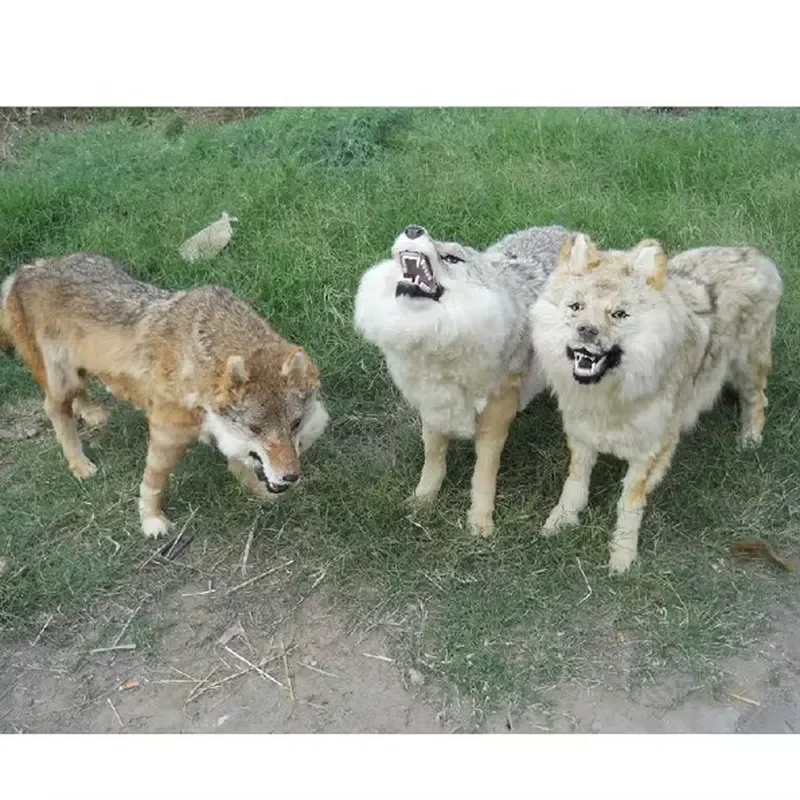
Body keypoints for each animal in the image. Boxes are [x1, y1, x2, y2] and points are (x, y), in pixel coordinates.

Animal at [1, 254, 330, 537]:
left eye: (295, 425)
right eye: (255, 429)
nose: (291, 476)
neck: (197, 361)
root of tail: (26, 270)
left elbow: (241, 462)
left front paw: (259, 491)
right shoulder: (167, 436)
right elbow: (153, 484)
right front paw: (151, 521)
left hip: (78, 373)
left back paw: (91, 412)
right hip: (61, 383)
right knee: (56, 412)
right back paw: (79, 463)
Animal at [354, 223, 572, 535]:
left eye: (452, 258)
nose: (413, 229)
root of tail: (564, 230)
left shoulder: (494, 422)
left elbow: (482, 477)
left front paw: (480, 522)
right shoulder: (433, 407)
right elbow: (433, 461)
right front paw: (422, 501)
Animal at [531, 234, 783, 574]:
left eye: (619, 314)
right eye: (576, 307)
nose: (586, 330)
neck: (611, 396)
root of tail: (754, 254)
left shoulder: (649, 452)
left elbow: (628, 505)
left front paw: (622, 556)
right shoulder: (581, 435)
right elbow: (575, 484)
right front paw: (560, 522)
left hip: (747, 365)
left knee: (757, 400)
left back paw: (750, 440)